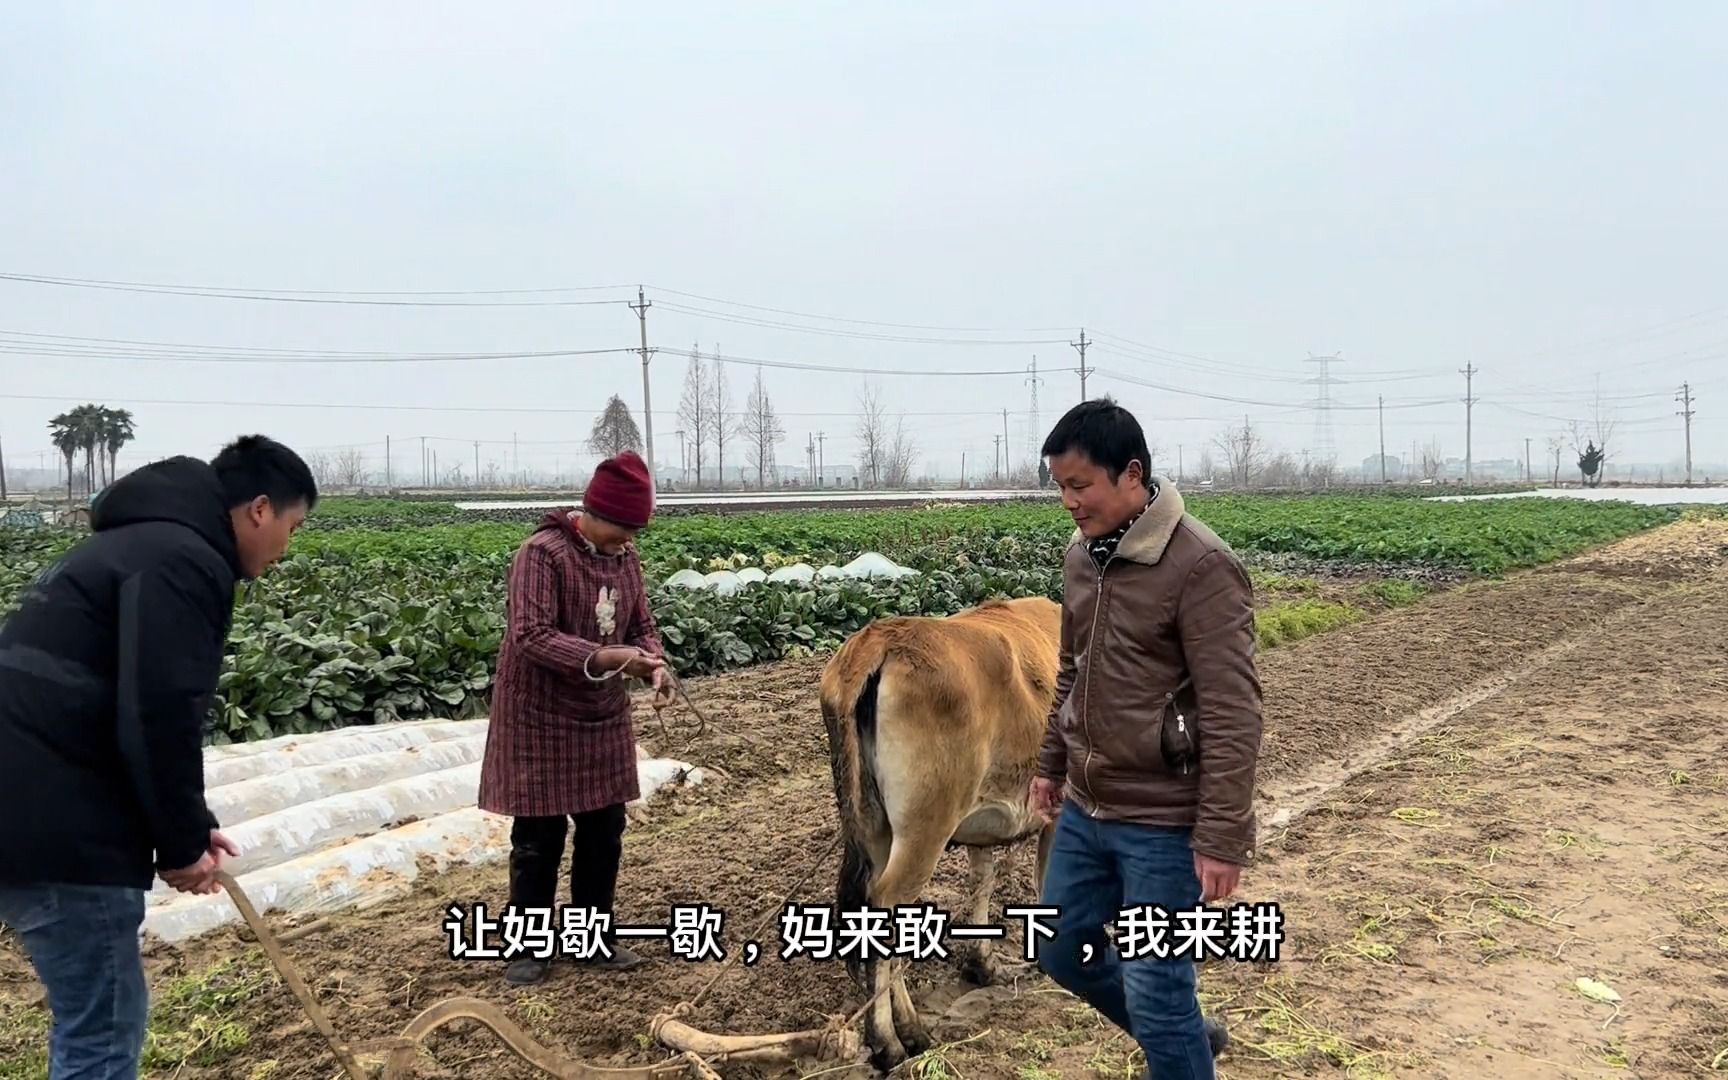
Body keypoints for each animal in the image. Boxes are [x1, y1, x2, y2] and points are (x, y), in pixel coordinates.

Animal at [815, 594, 1057, 1071]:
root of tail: (879, 637)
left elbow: (982, 882)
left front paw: (982, 966)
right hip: (925, 829)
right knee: (886, 906)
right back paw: (889, 1042)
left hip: (875, 828)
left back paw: (910, 1028)